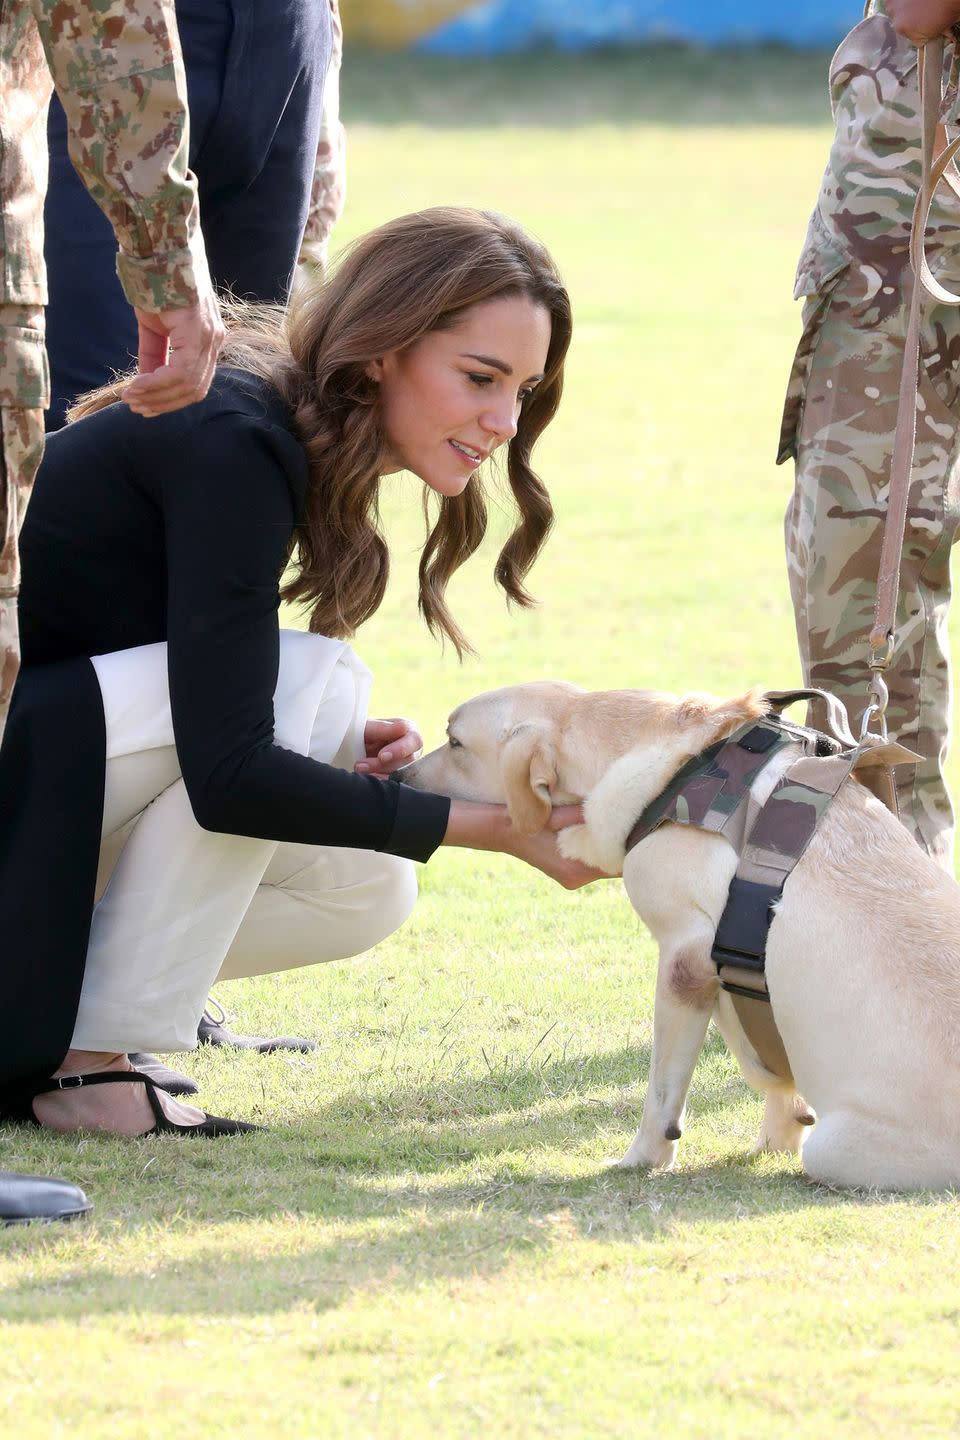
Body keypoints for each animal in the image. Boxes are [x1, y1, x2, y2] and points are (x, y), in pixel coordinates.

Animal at [400, 682, 960, 1192]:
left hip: (836, 1148)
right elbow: (771, 1060)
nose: (399, 776)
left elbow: (662, 1092)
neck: (673, 768)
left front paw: (642, 1160)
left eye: (454, 742)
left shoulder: (686, 961)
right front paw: (774, 1139)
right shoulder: (743, 983)